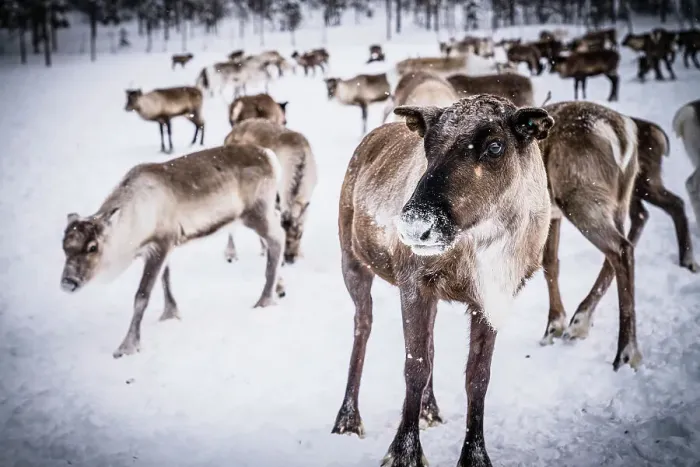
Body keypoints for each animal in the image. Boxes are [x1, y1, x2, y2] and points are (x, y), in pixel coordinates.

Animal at [60, 144, 286, 358]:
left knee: (278, 239)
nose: (68, 282)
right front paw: (170, 314)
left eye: (92, 246)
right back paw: (279, 287)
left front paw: (127, 346)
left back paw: (265, 299)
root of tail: (269, 155)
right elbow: (165, 280)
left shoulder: (160, 243)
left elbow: (142, 296)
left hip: (256, 213)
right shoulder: (161, 248)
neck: (133, 222)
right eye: (64, 247)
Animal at [330, 94, 554, 467]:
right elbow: (414, 368)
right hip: (353, 261)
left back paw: (429, 410)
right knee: (362, 327)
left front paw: (475, 455)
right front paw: (403, 452)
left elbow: (477, 377)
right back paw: (347, 418)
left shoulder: (490, 299)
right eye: (428, 144)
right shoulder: (413, 283)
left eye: (495, 146)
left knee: (430, 345)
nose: (416, 225)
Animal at [537, 101, 642, 371]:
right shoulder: (551, 215)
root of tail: (621, 133)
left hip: (580, 195)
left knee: (620, 249)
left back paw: (625, 353)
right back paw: (580, 322)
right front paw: (554, 325)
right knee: (619, 250)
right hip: (619, 199)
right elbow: (550, 263)